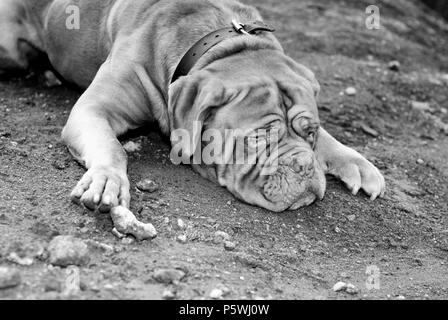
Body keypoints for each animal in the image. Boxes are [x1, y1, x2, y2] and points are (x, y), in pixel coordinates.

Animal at [0, 0, 384, 212]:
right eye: (257, 139)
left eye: (311, 133)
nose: (304, 167)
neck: (221, 41)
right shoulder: (93, 110)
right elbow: (112, 147)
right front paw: (107, 179)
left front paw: (355, 161)